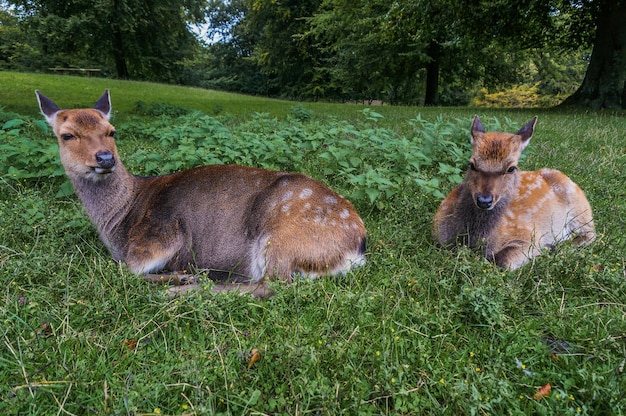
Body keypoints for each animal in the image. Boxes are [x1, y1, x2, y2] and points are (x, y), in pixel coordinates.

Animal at [37, 90, 366, 300]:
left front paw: (180, 276)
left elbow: (125, 271)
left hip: (282, 237)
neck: (119, 222)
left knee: (270, 285)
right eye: (67, 135)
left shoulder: (159, 235)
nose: (106, 158)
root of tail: (358, 244)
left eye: (112, 131)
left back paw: (182, 289)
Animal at [432, 115, 592, 270]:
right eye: (472, 164)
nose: (484, 200)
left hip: (582, 212)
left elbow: (503, 261)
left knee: (590, 234)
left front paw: (544, 249)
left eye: (511, 168)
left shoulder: (529, 234)